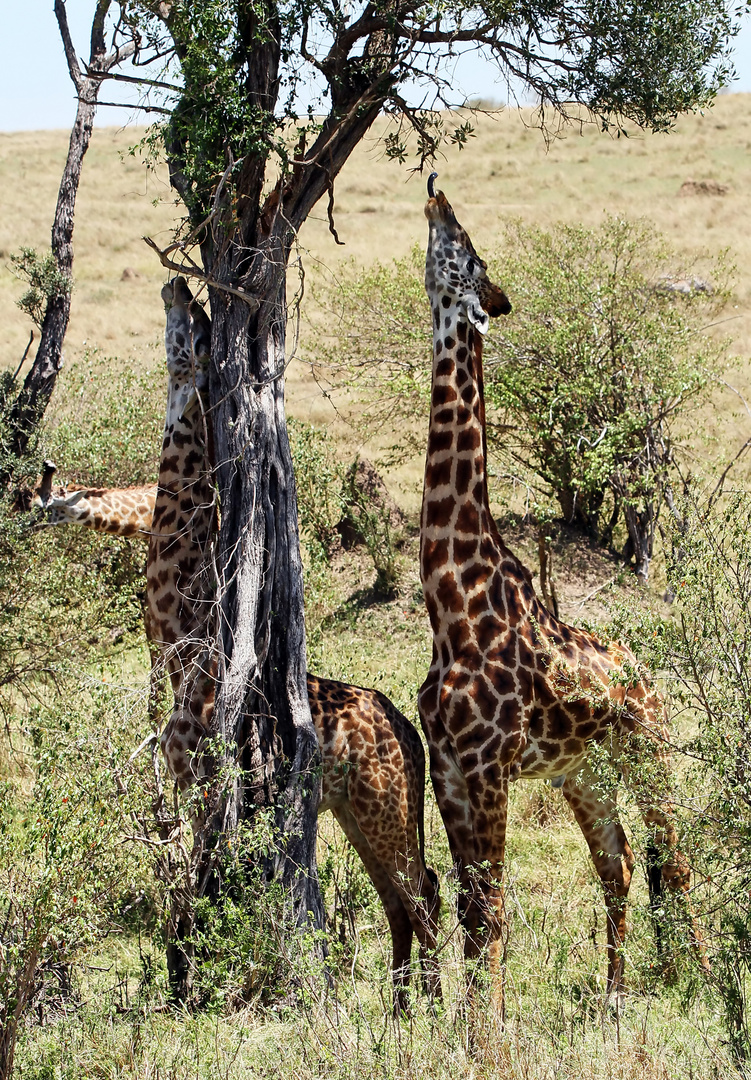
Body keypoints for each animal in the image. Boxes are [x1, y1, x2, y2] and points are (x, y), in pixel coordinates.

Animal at [148, 274, 440, 1006]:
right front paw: (182, 983)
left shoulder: (204, 786)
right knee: (403, 899)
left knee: (424, 893)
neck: (178, 638)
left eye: (196, 331)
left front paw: (187, 987)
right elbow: (182, 893)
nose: (181, 285)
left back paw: (444, 1011)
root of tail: (405, 730)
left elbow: (190, 895)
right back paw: (401, 1011)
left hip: (383, 806)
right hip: (359, 810)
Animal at [419, 172, 700, 1006]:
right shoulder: (449, 768)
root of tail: (646, 677)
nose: (435, 191)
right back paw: (612, 998)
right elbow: (473, 911)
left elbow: (493, 914)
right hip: (583, 772)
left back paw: (705, 985)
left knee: (674, 858)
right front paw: (465, 1026)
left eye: (466, 250)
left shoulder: (487, 769)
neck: (450, 606)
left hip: (648, 751)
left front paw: (486, 1030)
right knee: (620, 865)